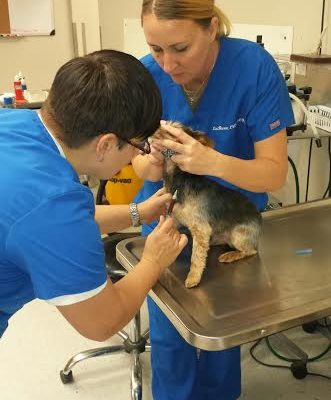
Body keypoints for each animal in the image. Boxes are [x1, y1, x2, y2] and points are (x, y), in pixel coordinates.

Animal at [156, 122, 262, 288]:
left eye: (171, 131)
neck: (179, 181)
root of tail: (259, 217)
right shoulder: (174, 218)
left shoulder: (200, 228)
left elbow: (196, 257)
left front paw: (193, 277)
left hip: (239, 234)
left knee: (251, 251)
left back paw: (231, 255)